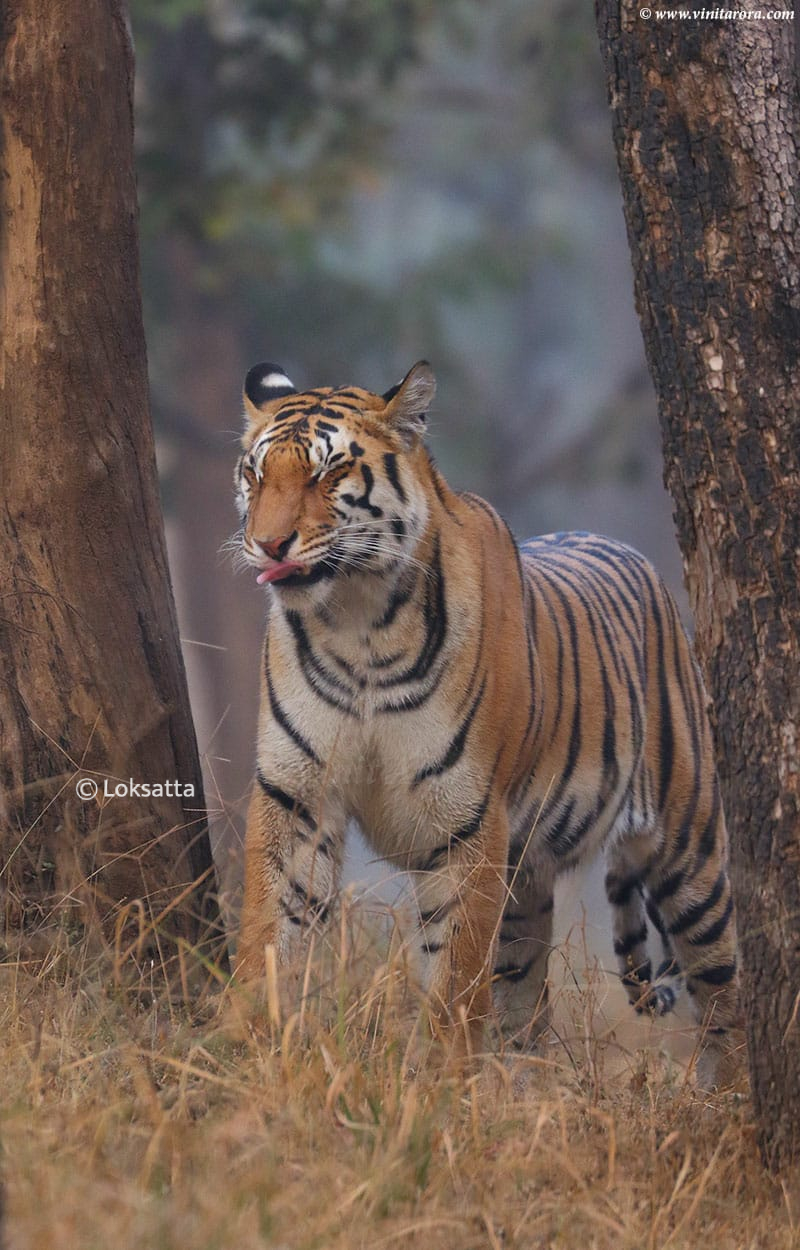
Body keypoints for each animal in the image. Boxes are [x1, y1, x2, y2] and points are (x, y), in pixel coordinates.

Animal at [235, 360, 740, 1085]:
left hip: (689, 852)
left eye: (327, 474)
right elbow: (271, 930)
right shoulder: (297, 794)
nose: (268, 544)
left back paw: (730, 1096)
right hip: (528, 880)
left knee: (724, 993)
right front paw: (248, 1050)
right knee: (526, 998)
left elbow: (454, 977)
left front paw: (440, 1084)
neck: (357, 624)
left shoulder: (466, 820)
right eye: (254, 474)